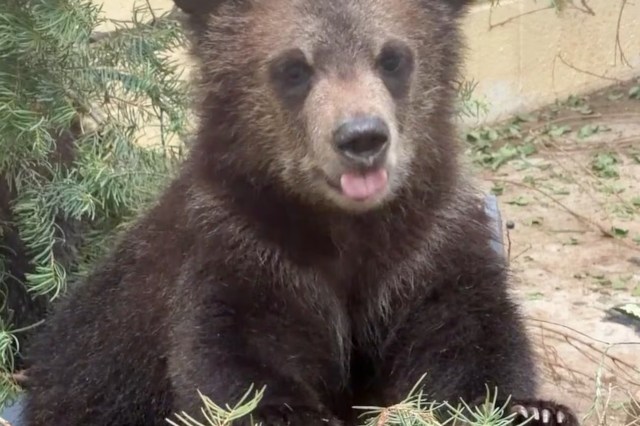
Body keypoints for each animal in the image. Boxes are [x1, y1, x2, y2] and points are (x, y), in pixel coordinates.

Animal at [23, 0, 580, 425]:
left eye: (393, 58)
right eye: (294, 67)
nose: (362, 138)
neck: (345, 229)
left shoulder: (424, 248)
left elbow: (468, 335)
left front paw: (536, 409)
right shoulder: (245, 253)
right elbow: (236, 358)